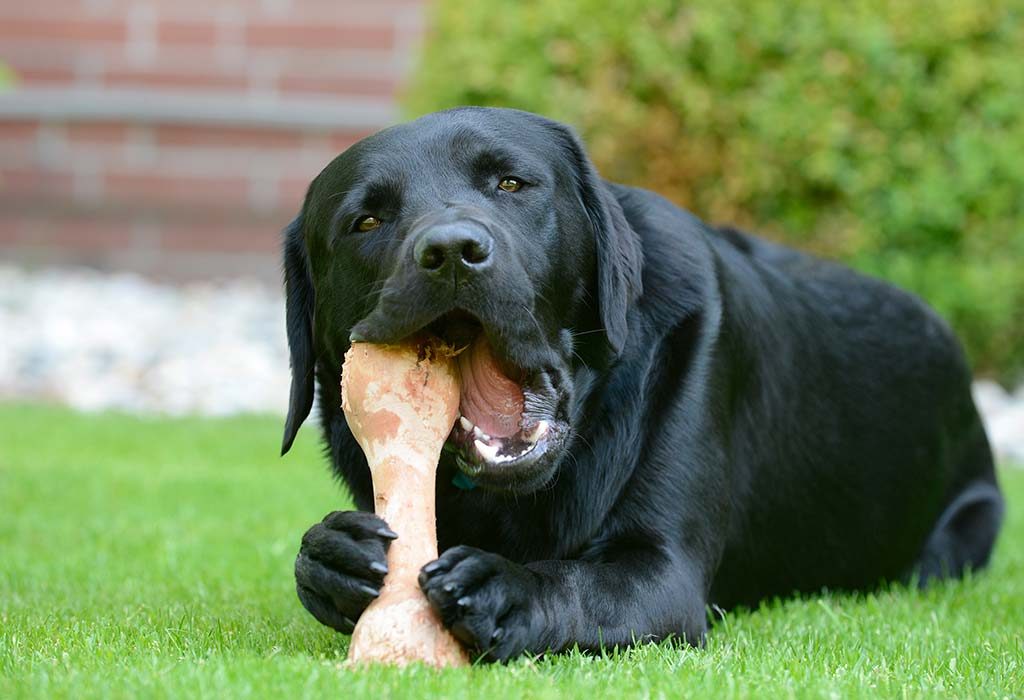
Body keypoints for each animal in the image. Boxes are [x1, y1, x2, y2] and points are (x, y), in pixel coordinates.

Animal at [284, 107, 1003, 663]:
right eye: (366, 222)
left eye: (512, 183)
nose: (452, 252)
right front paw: (333, 555)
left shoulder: (664, 573)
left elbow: (574, 582)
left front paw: (504, 587)